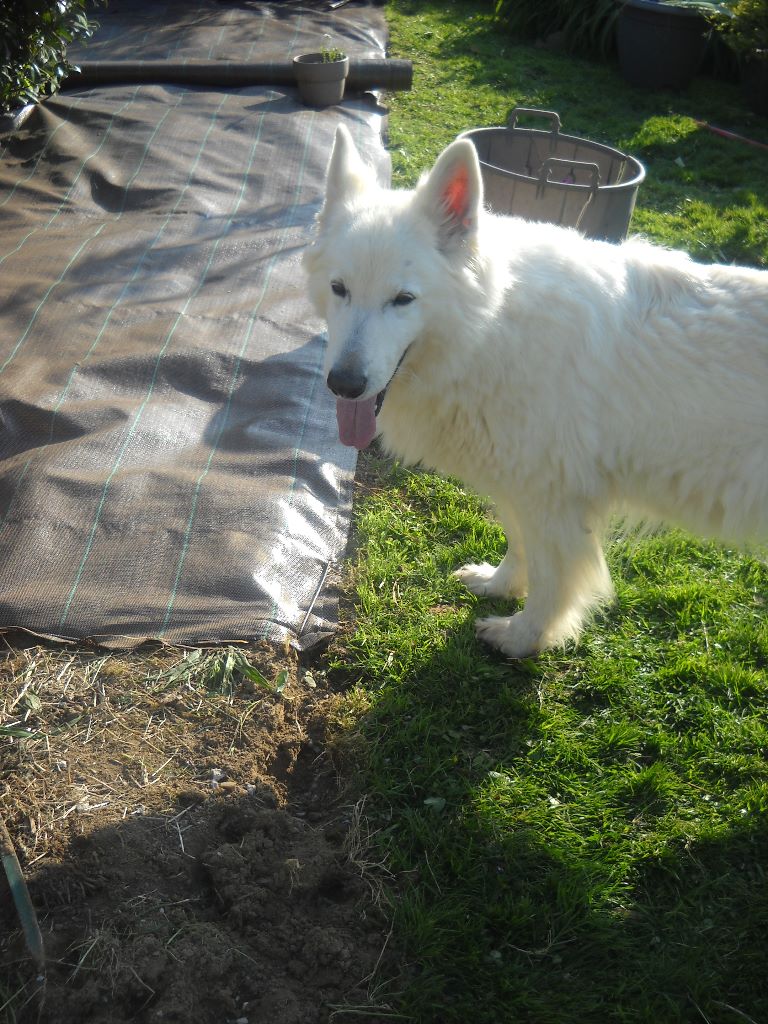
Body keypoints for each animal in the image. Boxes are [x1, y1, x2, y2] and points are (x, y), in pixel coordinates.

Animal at [304, 125, 768, 658]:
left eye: (403, 299)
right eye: (339, 288)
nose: (344, 384)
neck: (489, 327)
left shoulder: (553, 499)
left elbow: (551, 577)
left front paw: (526, 635)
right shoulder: (519, 484)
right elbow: (518, 543)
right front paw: (501, 585)